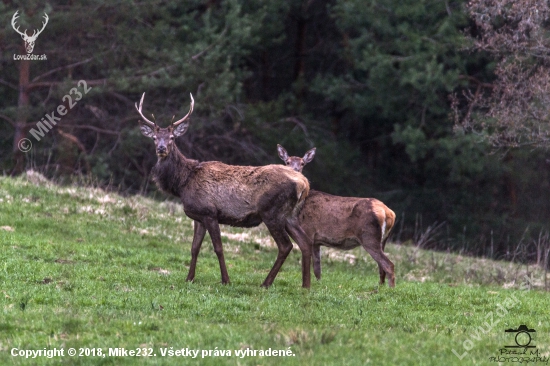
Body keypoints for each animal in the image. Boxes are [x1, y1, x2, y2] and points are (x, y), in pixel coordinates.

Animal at [135, 93, 312, 288]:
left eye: (172, 137)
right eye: (154, 138)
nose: (161, 149)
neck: (183, 184)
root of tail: (304, 183)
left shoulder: (210, 212)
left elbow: (218, 248)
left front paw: (226, 280)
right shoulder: (199, 216)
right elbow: (194, 247)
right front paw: (189, 278)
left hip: (272, 211)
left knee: (286, 246)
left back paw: (266, 283)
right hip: (289, 215)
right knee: (305, 242)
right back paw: (305, 285)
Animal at [280, 144, 396, 288]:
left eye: (302, 163)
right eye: (287, 162)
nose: (294, 171)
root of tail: (388, 212)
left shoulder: (308, 231)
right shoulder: (317, 240)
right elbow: (318, 268)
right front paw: (319, 284)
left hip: (369, 236)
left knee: (388, 265)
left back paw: (390, 289)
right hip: (383, 240)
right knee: (382, 267)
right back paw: (380, 287)